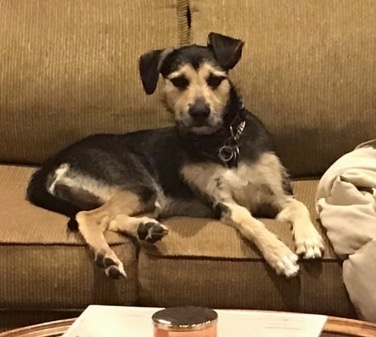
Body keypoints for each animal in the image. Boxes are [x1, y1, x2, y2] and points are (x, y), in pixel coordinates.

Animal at [27, 31, 326, 278]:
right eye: (179, 81)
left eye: (215, 80)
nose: (199, 112)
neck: (222, 143)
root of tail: (50, 165)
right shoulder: (222, 203)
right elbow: (250, 222)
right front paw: (279, 254)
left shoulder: (278, 195)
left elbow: (299, 206)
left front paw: (310, 240)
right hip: (137, 186)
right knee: (88, 217)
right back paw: (108, 257)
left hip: (144, 199)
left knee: (107, 217)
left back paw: (145, 229)